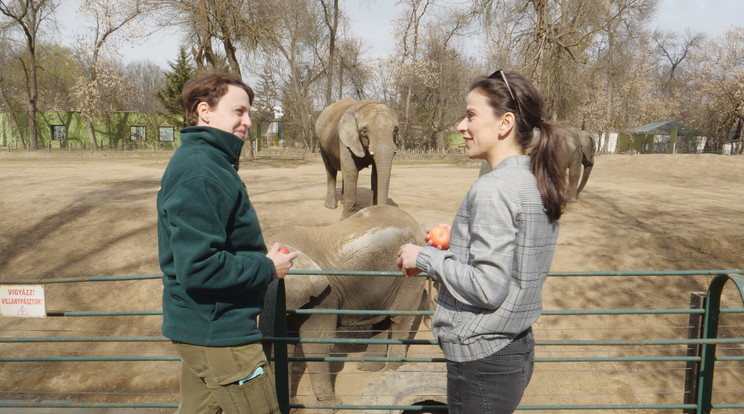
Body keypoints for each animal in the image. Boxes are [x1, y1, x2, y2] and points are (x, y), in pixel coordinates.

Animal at [264, 204, 428, 408]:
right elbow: (284, 341)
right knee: (380, 318)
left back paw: (391, 372)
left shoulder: (323, 298)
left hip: (410, 276)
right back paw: (369, 367)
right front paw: (293, 406)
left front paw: (328, 407)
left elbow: (317, 341)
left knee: (400, 318)